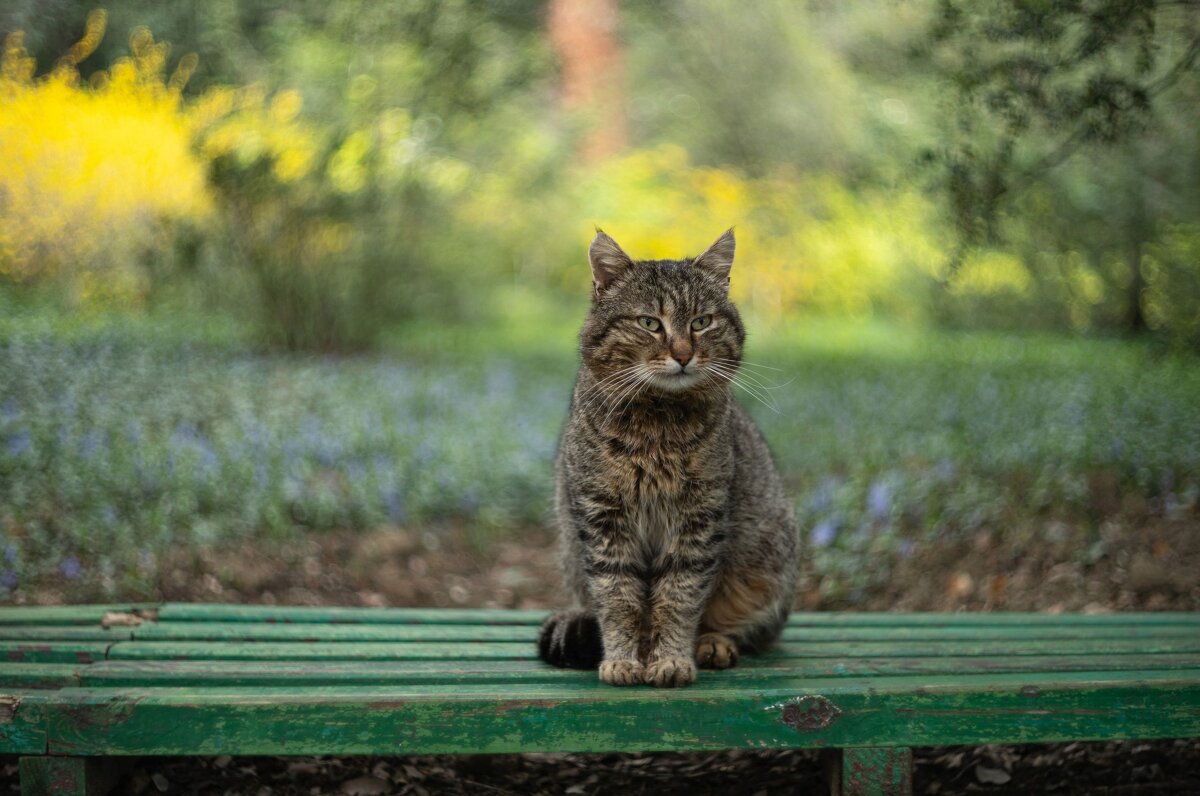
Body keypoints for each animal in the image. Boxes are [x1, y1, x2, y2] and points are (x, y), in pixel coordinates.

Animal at [540, 229, 801, 686]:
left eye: (701, 322)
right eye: (649, 323)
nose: (682, 354)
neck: (658, 422)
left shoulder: (699, 518)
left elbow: (679, 597)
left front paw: (671, 658)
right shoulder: (603, 518)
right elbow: (619, 599)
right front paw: (623, 659)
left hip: (770, 557)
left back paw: (713, 642)